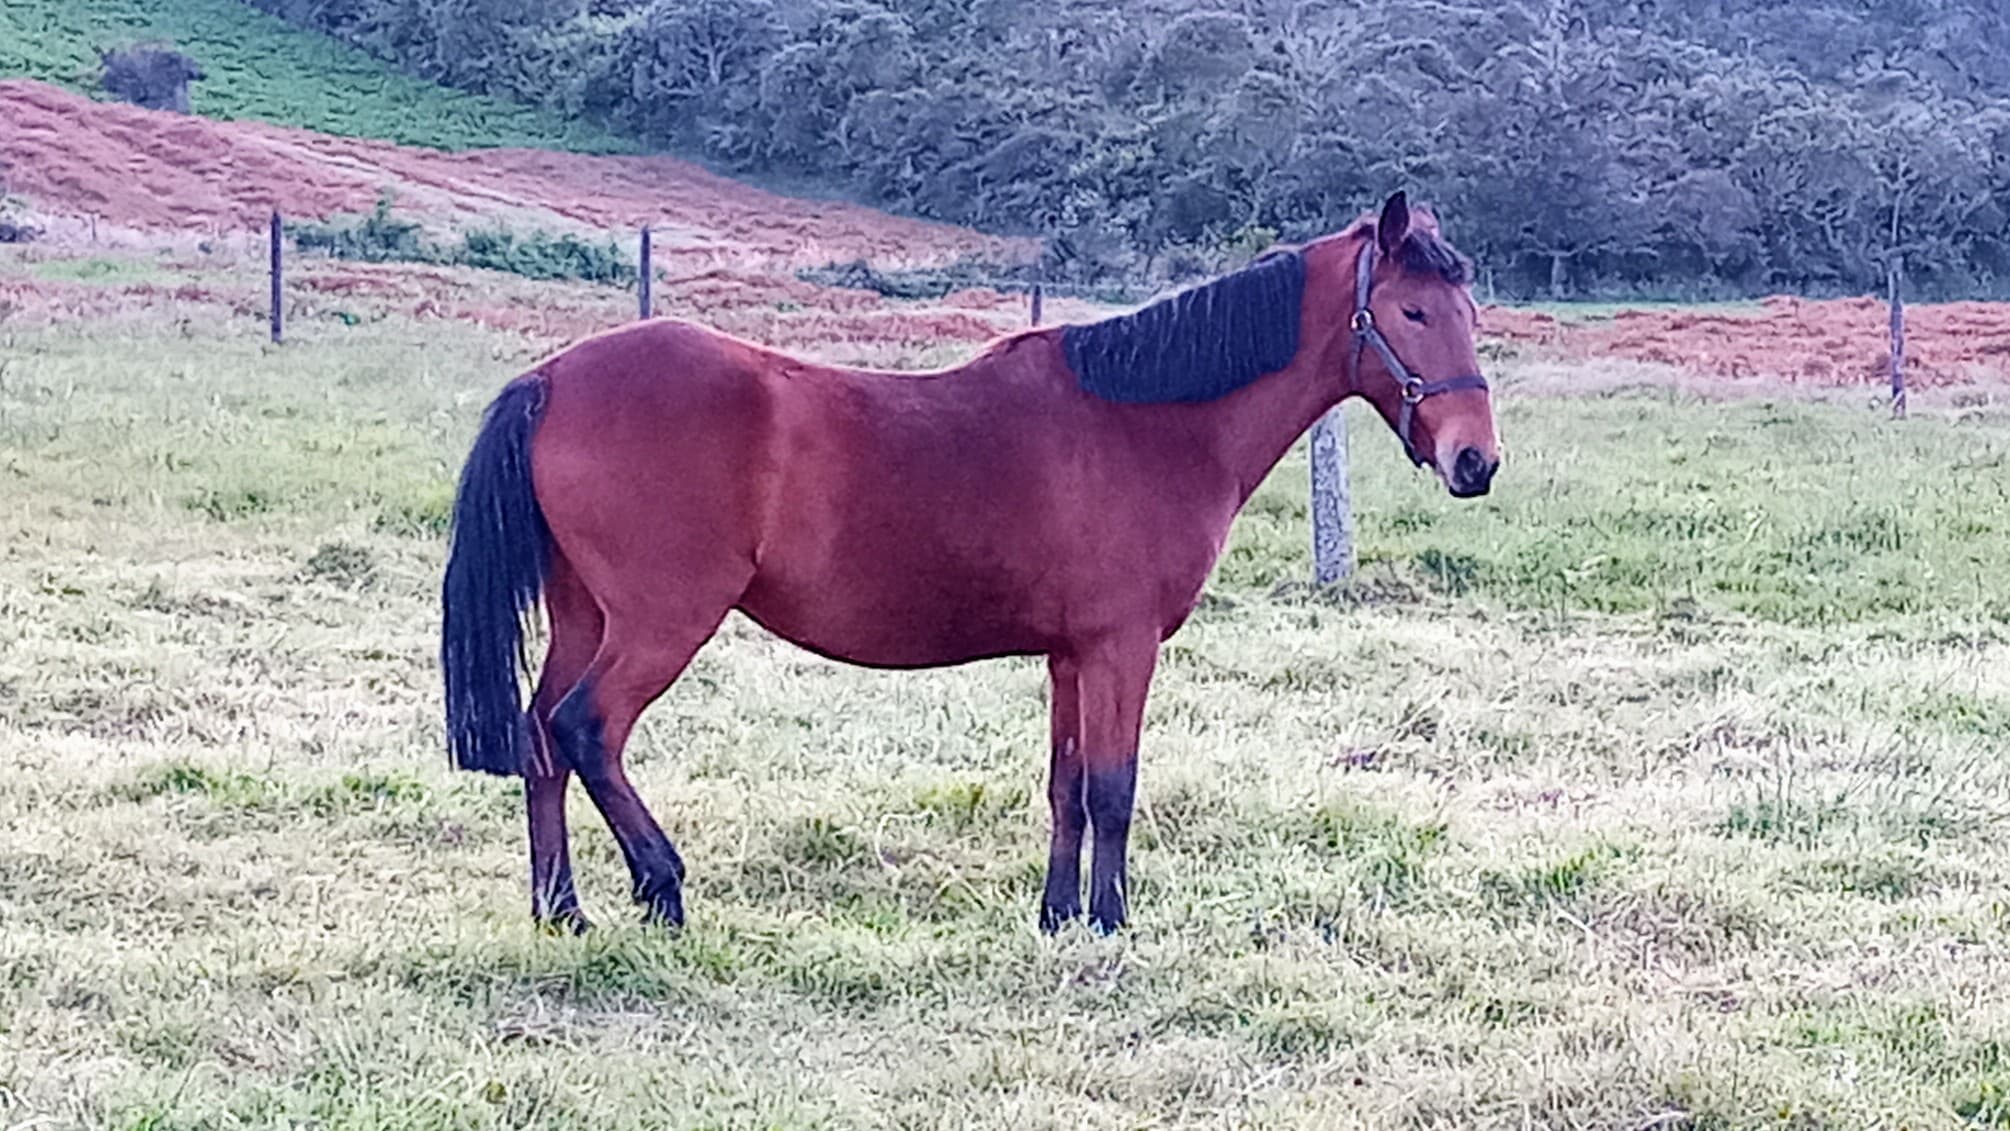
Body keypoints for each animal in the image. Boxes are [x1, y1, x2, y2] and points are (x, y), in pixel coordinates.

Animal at [440, 191, 1501, 935]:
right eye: (1410, 311)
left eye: (1468, 313)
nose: (1475, 461)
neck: (1146, 424)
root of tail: (552, 377)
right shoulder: (1122, 647)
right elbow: (1115, 786)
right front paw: (1112, 923)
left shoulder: (1072, 654)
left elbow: (1068, 785)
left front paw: (1059, 915)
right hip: (662, 621)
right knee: (586, 729)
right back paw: (660, 885)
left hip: (586, 614)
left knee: (540, 737)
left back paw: (562, 909)